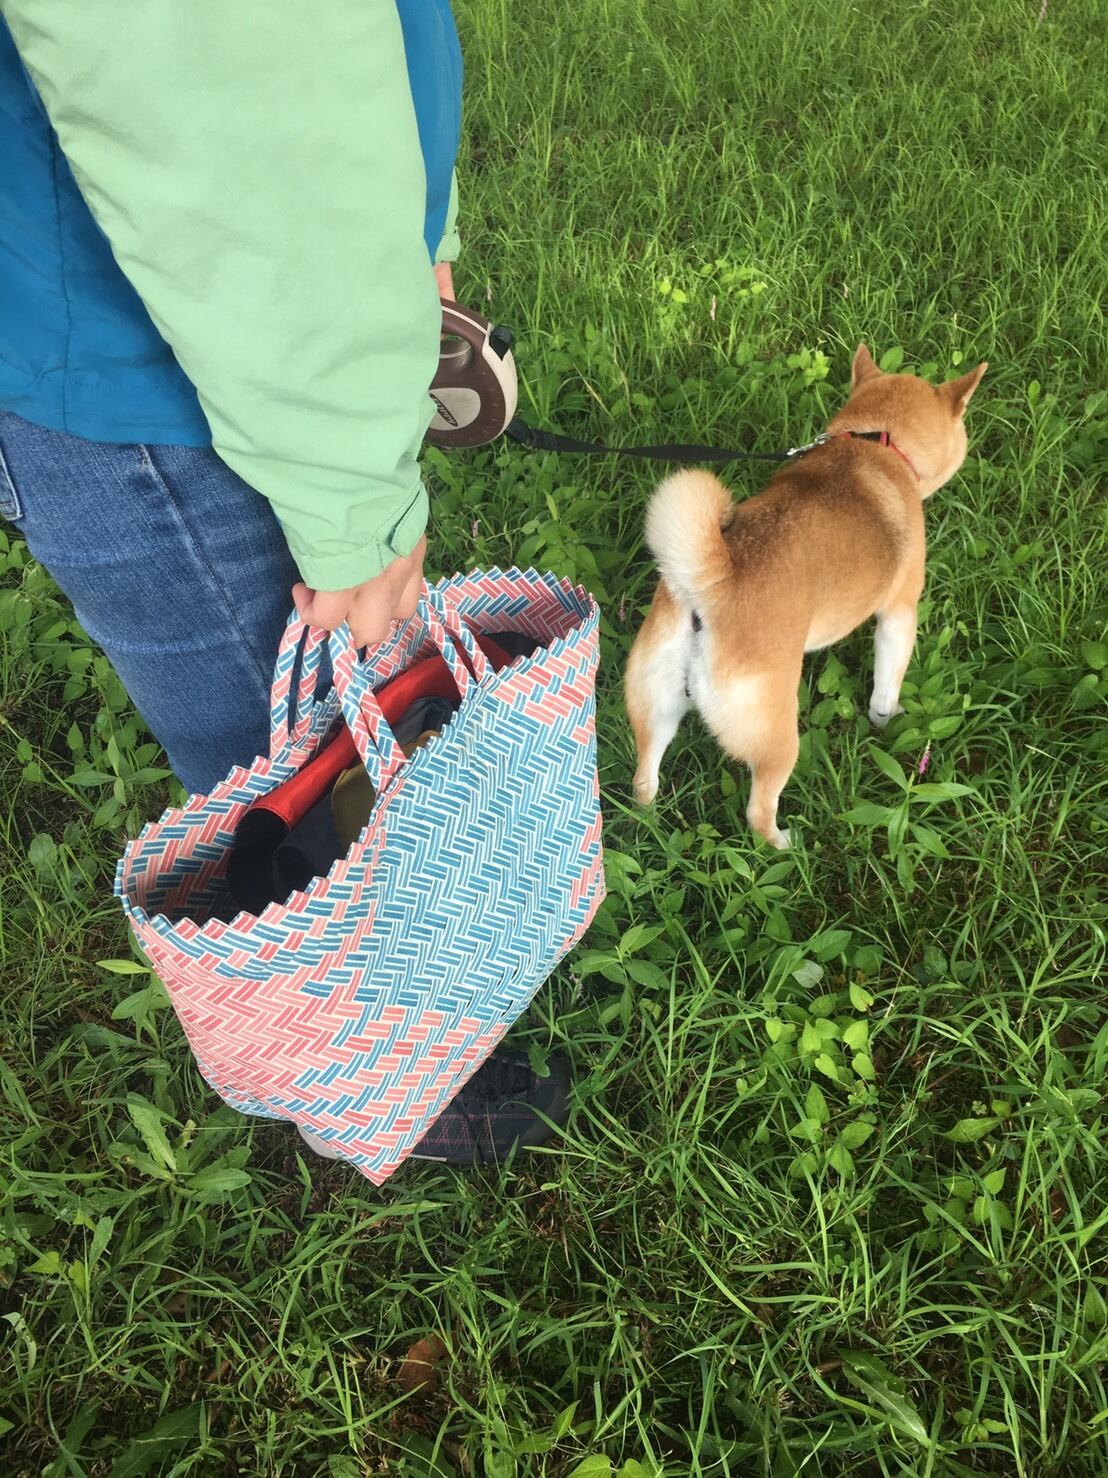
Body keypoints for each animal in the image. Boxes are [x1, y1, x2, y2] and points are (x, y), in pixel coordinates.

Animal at [624, 344, 986, 848]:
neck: (878, 442)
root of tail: (710, 590)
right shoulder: (900, 612)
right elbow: (887, 683)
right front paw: (887, 720)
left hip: (655, 701)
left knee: (645, 778)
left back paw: (649, 819)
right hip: (776, 738)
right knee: (758, 811)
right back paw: (785, 844)